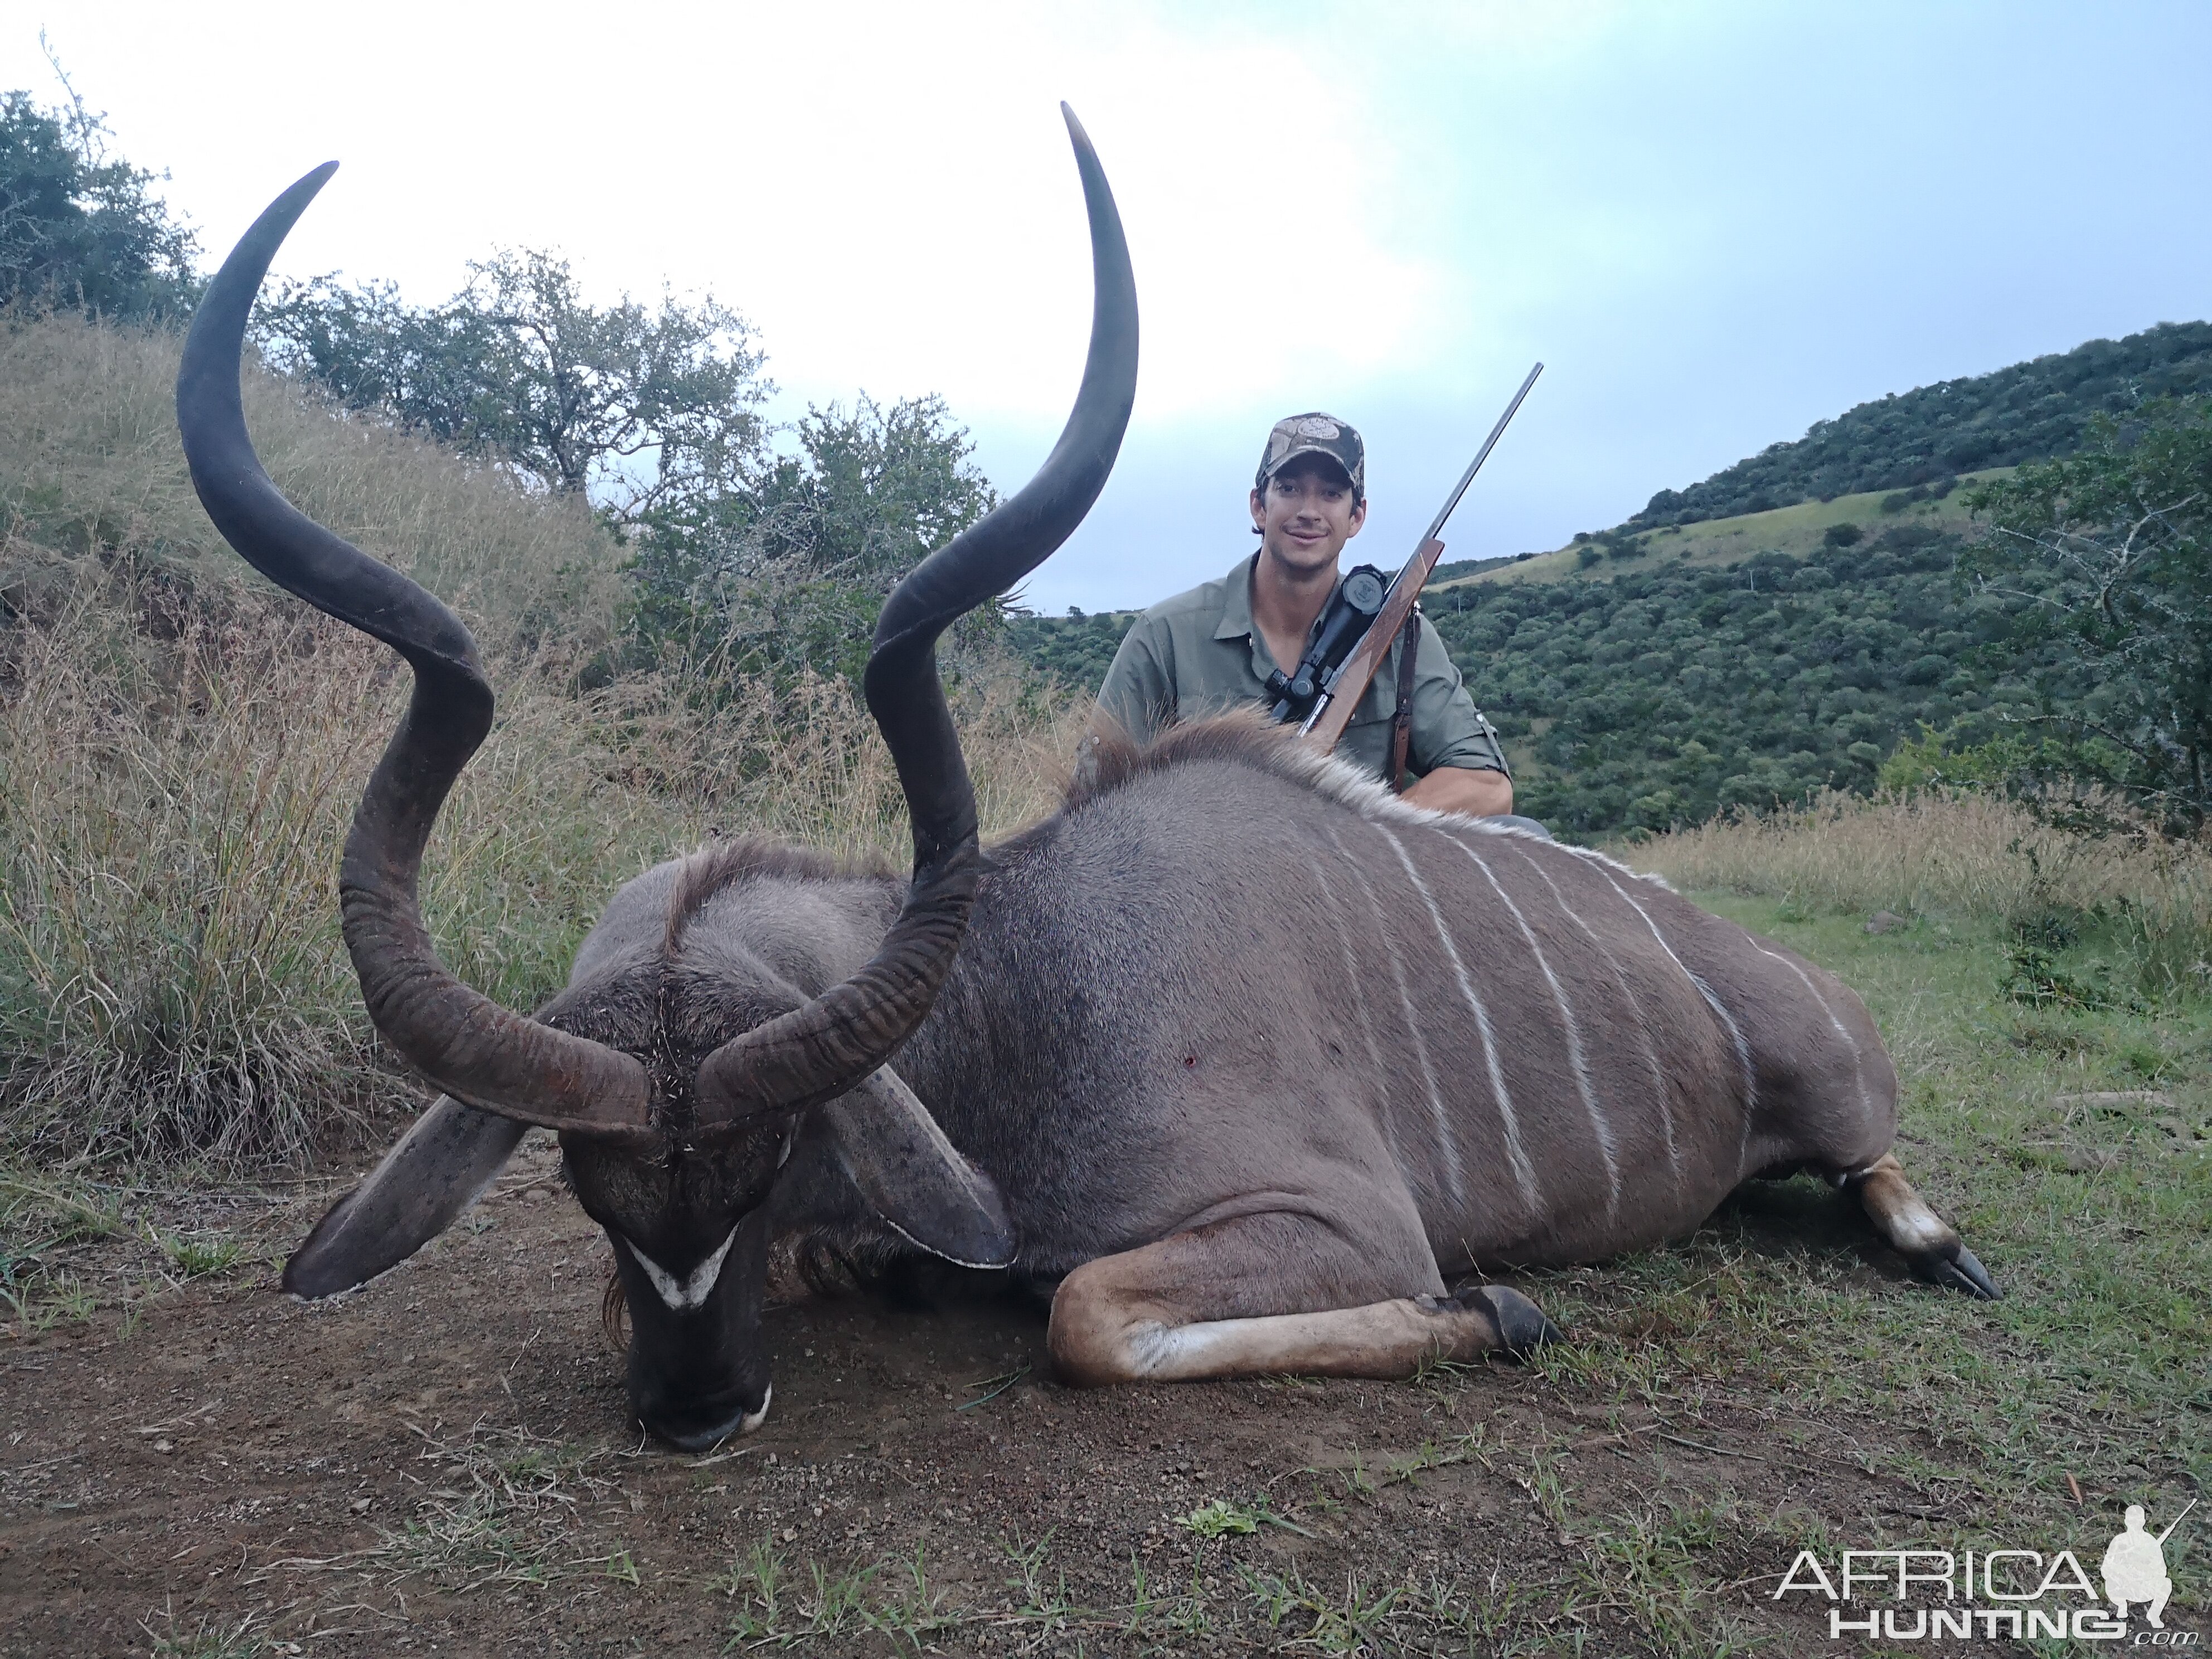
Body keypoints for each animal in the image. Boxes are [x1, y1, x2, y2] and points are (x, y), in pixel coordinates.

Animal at [181, 107, 2000, 1451]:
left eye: (765, 1164)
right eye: (578, 1184)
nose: (695, 1415)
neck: (1023, 993)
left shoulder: (1336, 1221)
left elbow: (1080, 1314)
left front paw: (1497, 1306)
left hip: (1834, 1093)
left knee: (1877, 1168)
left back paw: (1929, 1244)